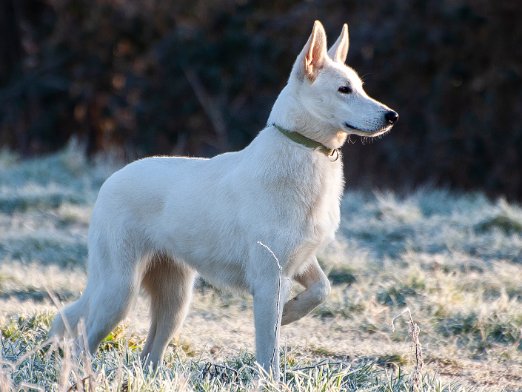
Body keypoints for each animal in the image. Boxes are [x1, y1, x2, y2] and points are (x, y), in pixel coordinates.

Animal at [50, 19, 396, 378]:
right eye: (344, 90)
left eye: (361, 87)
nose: (392, 116)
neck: (302, 150)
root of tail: (110, 181)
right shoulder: (269, 280)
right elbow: (268, 352)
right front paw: (271, 377)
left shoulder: (299, 263)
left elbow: (321, 290)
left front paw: (290, 313)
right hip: (118, 292)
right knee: (81, 344)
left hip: (175, 302)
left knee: (148, 354)